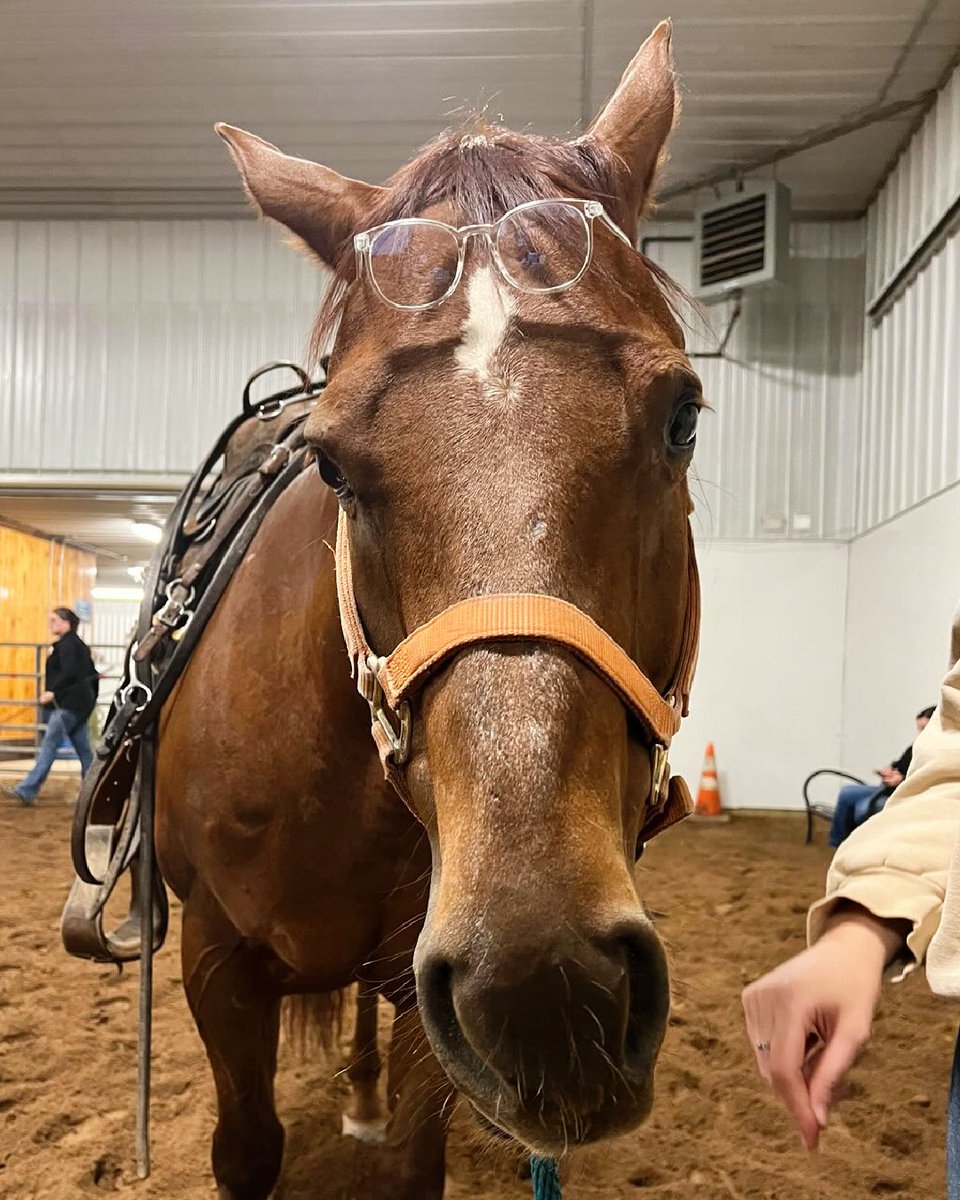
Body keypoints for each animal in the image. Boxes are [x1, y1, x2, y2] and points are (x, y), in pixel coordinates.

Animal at [155, 20, 702, 1199]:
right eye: (333, 464)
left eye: (683, 417)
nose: (547, 982)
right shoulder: (214, 958)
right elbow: (245, 1146)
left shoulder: (426, 984)